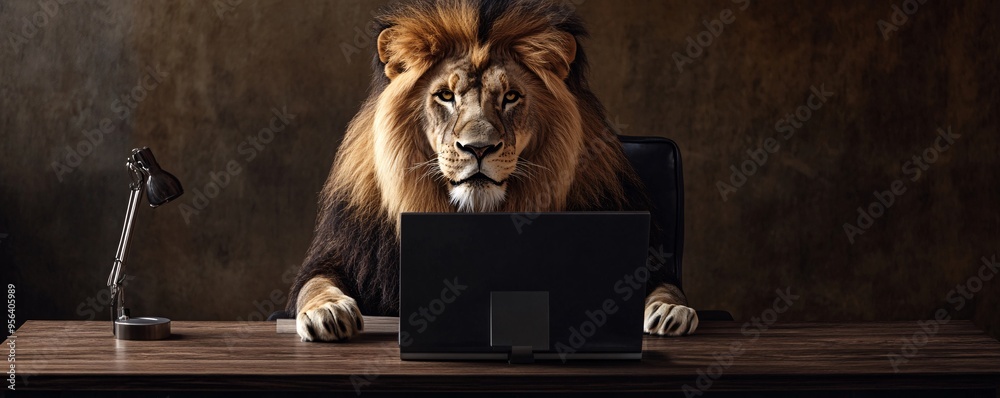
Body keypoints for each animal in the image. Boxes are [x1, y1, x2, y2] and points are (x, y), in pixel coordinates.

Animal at [286, 0, 700, 342]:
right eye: (446, 96)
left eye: (511, 97)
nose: (478, 148)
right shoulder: (343, 255)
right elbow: (315, 283)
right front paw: (327, 312)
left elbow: (664, 285)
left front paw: (671, 311)